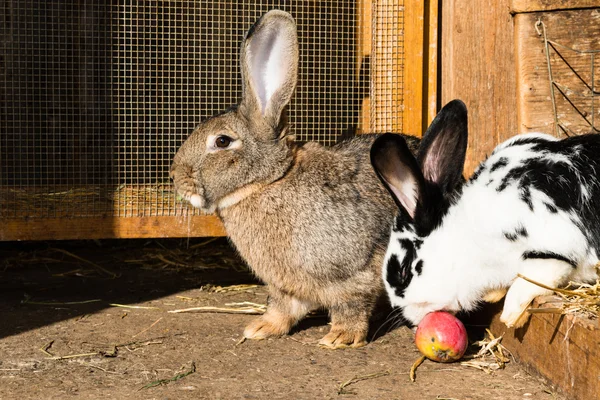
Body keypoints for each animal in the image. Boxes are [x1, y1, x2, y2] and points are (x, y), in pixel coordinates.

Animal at [169, 8, 418, 346]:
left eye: (222, 141)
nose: (176, 177)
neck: (269, 181)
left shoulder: (355, 273)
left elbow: (351, 306)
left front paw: (339, 338)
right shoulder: (285, 286)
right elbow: (282, 307)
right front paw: (260, 328)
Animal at [370, 100, 600, 328]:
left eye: (403, 271)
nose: (409, 321)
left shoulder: (558, 244)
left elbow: (533, 277)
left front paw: (511, 316)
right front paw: (493, 296)